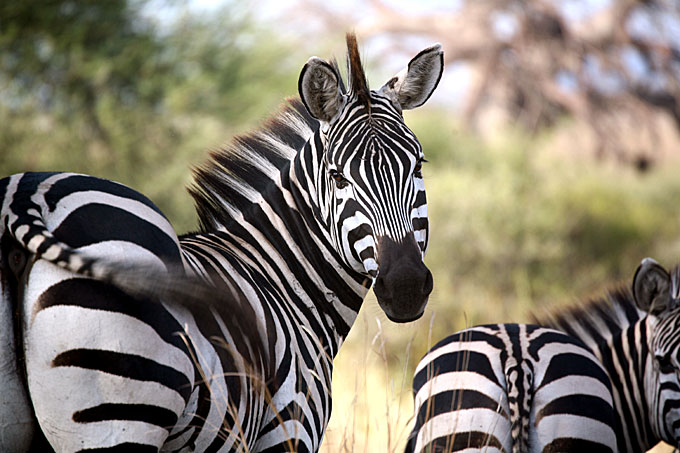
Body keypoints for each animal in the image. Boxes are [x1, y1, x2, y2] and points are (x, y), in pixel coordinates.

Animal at [0, 32, 444, 452]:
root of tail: (28, 195)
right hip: (119, 408)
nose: (405, 286)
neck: (284, 282)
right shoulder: (288, 429)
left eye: (418, 166)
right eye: (337, 177)